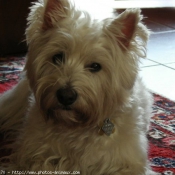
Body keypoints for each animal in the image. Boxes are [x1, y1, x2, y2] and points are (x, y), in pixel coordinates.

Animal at [0, 0, 156, 175]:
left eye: (95, 66)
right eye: (58, 57)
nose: (65, 96)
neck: (76, 127)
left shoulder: (126, 162)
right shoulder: (32, 153)